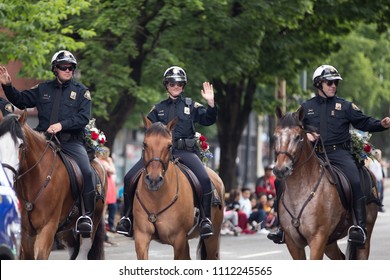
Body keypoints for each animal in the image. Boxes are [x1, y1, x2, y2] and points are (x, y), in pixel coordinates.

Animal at [0, 110, 106, 260]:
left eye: (20, 145)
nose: (5, 177)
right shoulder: (26, 233)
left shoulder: (47, 228)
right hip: (66, 231)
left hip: (91, 224)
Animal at [133, 115, 224, 260]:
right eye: (145, 144)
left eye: (169, 145)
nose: (154, 180)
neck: (157, 198)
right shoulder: (142, 237)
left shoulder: (179, 240)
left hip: (212, 238)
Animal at [272, 107, 378, 260]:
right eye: (275, 136)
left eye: (298, 137)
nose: (280, 169)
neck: (300, 190)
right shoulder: (293, 243)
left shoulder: (318, 238)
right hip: (330, 242)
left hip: (365, 235)